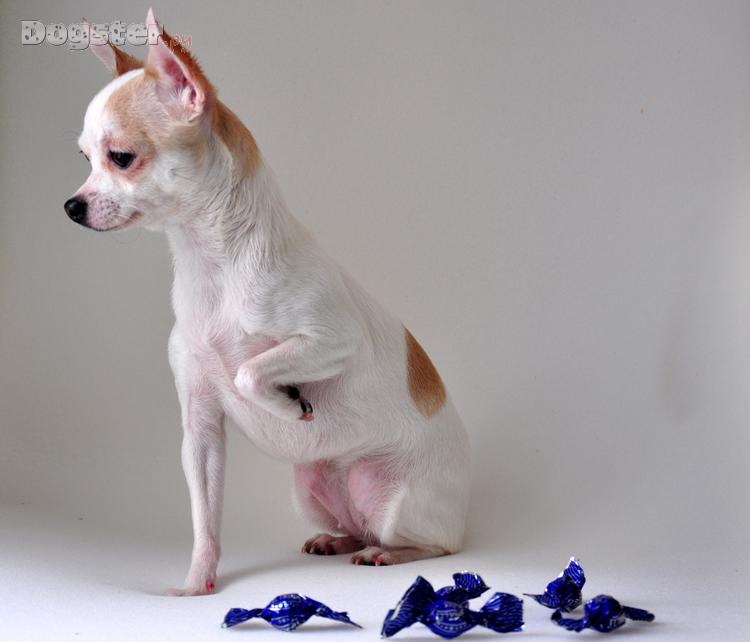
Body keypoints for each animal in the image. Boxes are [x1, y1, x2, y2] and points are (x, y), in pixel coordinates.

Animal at [65, 9, 470, 596]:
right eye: (85, 159)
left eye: (121, 158)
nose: (72, 205)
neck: (211, 268)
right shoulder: (201, 432)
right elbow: (205, 519)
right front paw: (197, 583)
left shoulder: (333, 340)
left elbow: (248, 372)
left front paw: (285, 401)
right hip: (310, 489)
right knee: (353, 525)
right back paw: (338, 540)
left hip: (396, 499)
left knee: (434, 544)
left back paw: (389, 552)